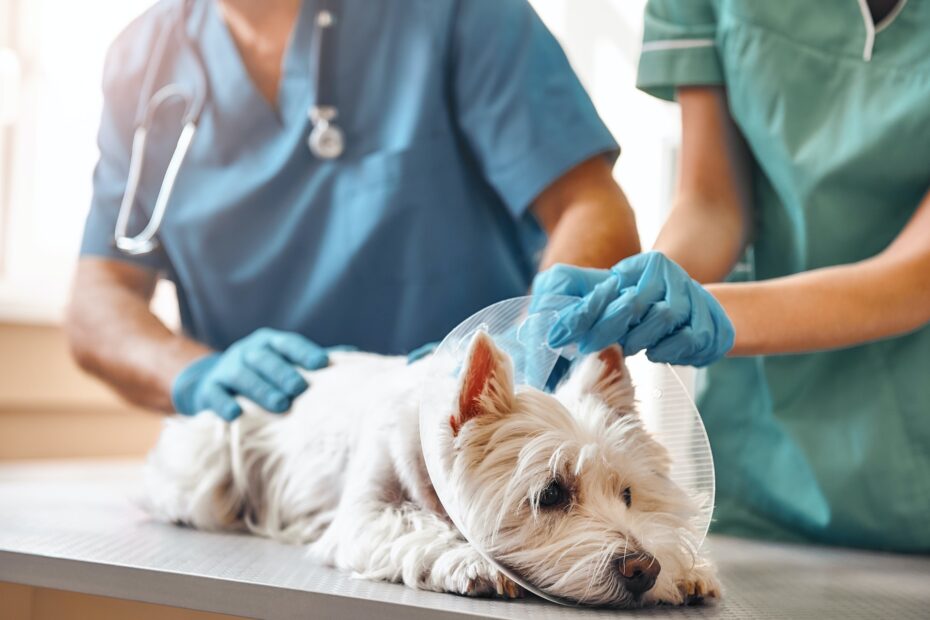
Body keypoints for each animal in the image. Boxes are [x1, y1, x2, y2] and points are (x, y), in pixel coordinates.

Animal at [145, 332, 716, 608]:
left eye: (629, 495)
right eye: (551, 494)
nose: (644, 570)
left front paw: (688, 571)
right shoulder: (364, 515)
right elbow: (416, 525)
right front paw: (473, 562)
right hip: (211, 458)